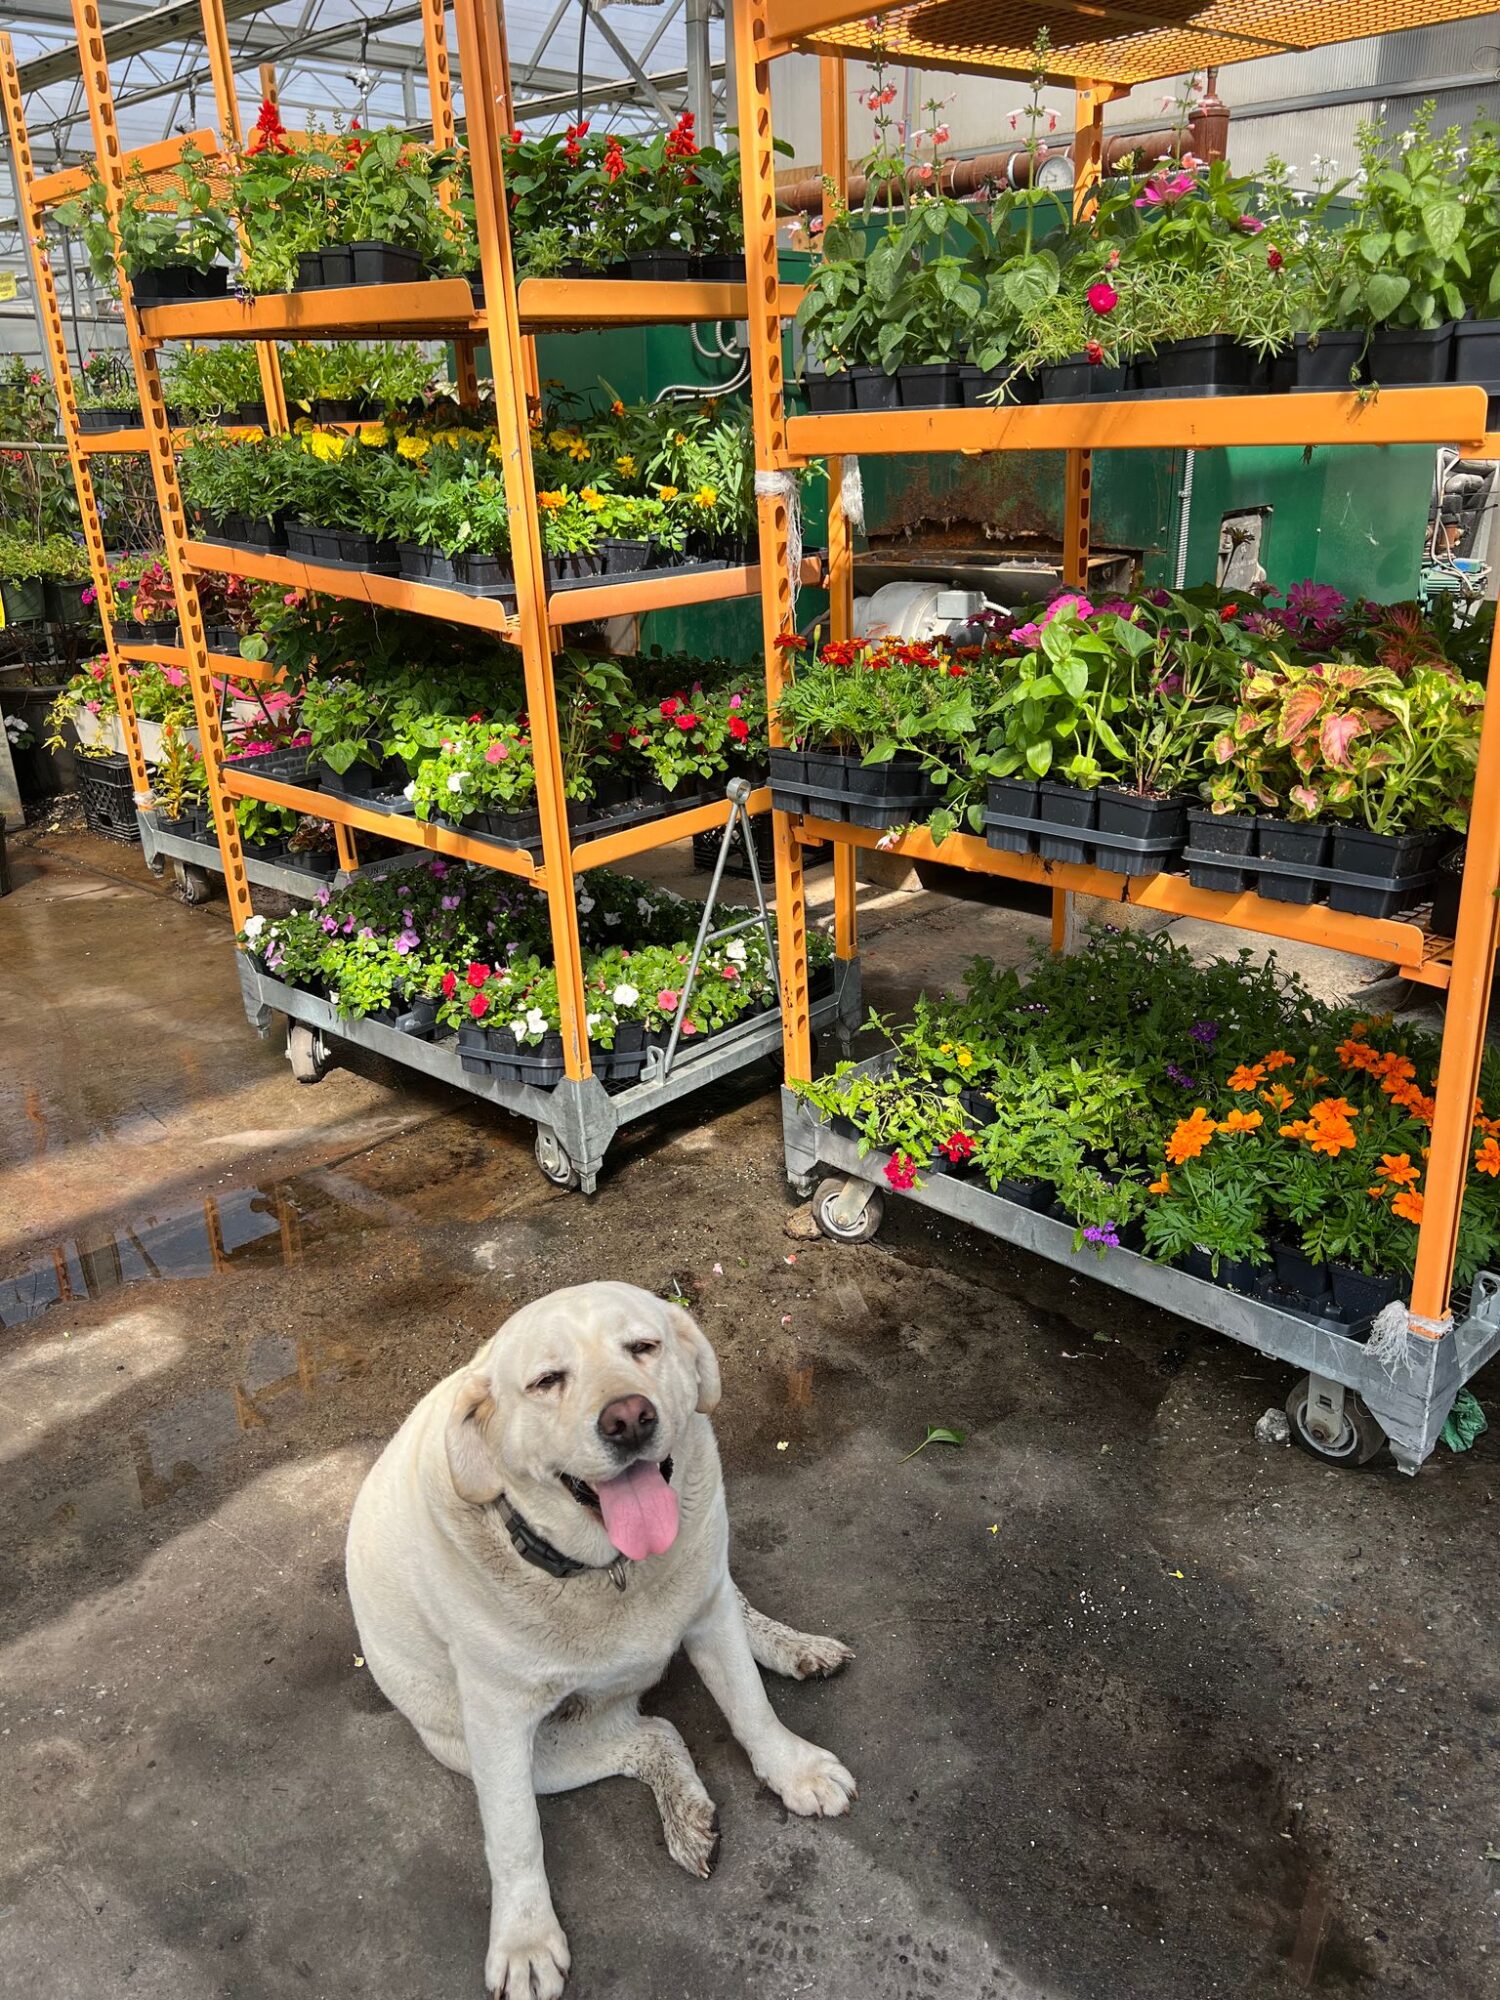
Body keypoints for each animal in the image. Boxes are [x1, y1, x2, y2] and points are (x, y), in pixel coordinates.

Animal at [346, 1281, 855, 1999]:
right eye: (546, 1381)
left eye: (643, 1346)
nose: (630, 1419)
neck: (607, 1571)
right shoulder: (498, 1724)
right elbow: (515, 1837)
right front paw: (525, 1939)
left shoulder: (708, 1616)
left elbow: (751, 1707)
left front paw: (794, 1768)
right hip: (488, 1749)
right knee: (654, 1734)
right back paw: (683, 1808)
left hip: (707, 1574)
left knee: (725, 1614)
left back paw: (790, 1646)